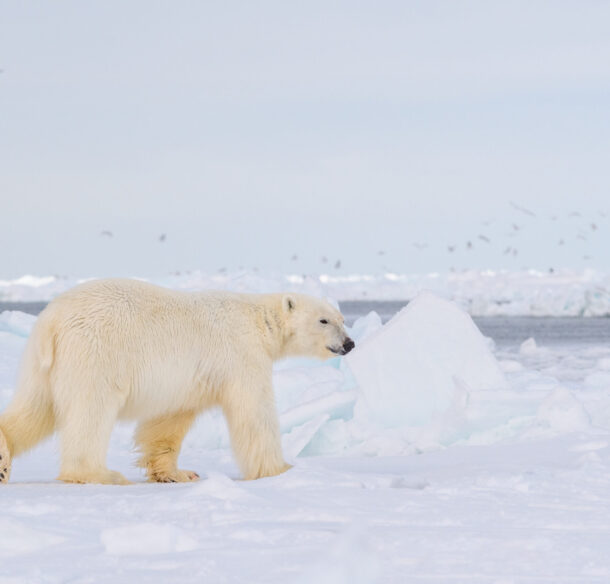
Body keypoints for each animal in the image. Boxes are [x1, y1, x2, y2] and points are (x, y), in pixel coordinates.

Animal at [0, 278, 352, 484]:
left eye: (342, 319)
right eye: (324, 320)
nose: (349, 344)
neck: (258, 320)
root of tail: (52, 319)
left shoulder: (188, 379)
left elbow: (169, 419)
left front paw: (176, 473)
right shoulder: (240, 355)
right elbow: (254, 413)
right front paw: (281, 470)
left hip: (43, 364)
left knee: (35, 408)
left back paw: (3, 460)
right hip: (97, 353)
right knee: (90, 411)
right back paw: (100, 474)